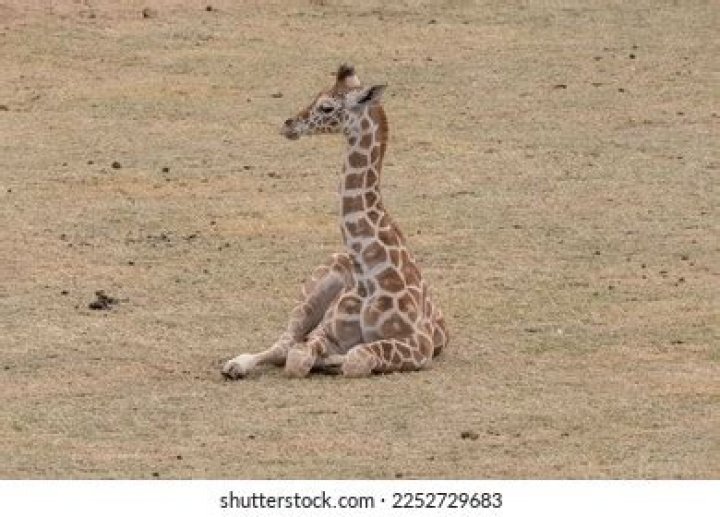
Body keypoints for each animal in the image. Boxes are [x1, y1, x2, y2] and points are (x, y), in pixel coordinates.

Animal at [222, 64, 448, 379]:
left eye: (326, 107)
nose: (288, 124)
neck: (367, 275)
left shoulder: (419, 344)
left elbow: (356, 359)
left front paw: (332, 361)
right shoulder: (326, 331)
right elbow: (298, 358)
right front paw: (321, 360)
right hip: (311, 292)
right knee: (283, 342)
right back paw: (236, 364)